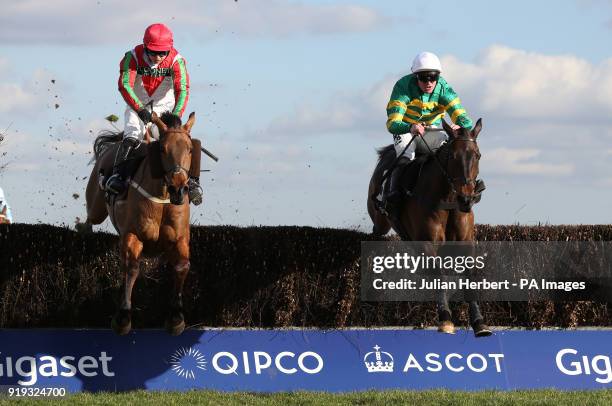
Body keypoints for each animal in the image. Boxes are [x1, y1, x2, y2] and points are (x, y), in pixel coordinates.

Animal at [81, 111, 195, 336]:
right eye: (162, 149)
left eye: (190, 148)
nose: (178, 188)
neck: (162, 197)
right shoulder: (132, 235)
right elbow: (132, 267)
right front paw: (123, 317)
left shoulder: (179, 239)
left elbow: (182, 266)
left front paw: (176, 317)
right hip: (96, 205)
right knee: (89, 218)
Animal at [366, 119, 490, 338]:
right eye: (452, 156)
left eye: (477, 155)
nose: (466, 199)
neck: (447, 200)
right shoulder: (427, 242)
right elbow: (438, 275)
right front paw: (446, 319)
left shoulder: (466, 243)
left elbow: (469, 276)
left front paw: (479, 322)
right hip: (380, 220)